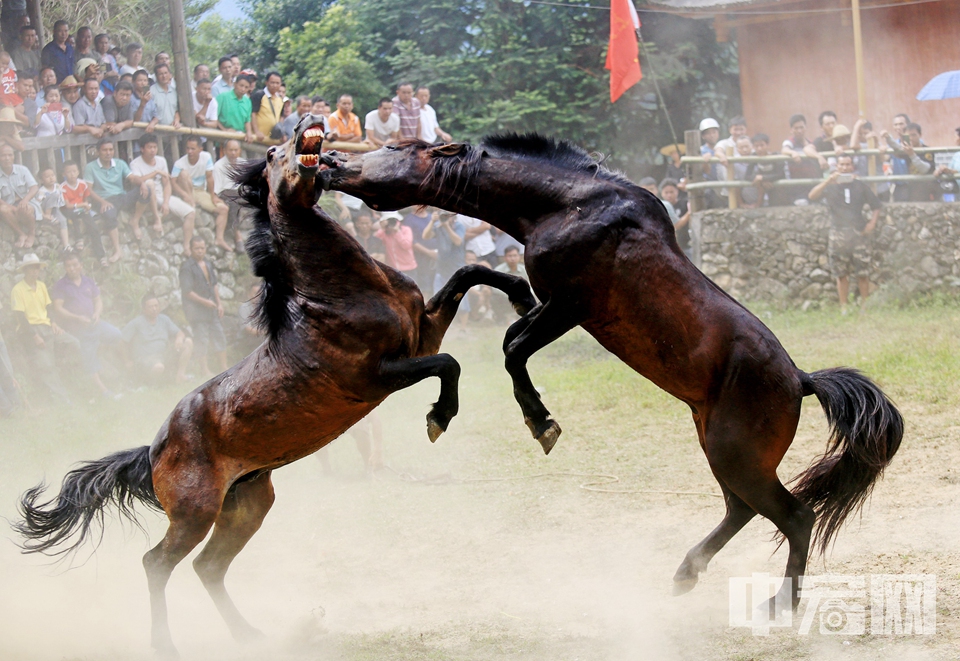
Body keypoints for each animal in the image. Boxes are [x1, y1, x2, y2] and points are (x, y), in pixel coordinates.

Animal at [15, 114, 536, 656]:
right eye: (269, 153)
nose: (306, 120)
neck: (342, 292)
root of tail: (154, 448)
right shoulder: (381, 374)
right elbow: (449, 363)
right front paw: (439, 417)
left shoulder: (423, 331)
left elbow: (469, 272)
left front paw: (523, 295)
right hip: (195, 512)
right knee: (157, 563)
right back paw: (167, 645)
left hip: (247, 504)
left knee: (209, 567)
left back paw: (254, 635)